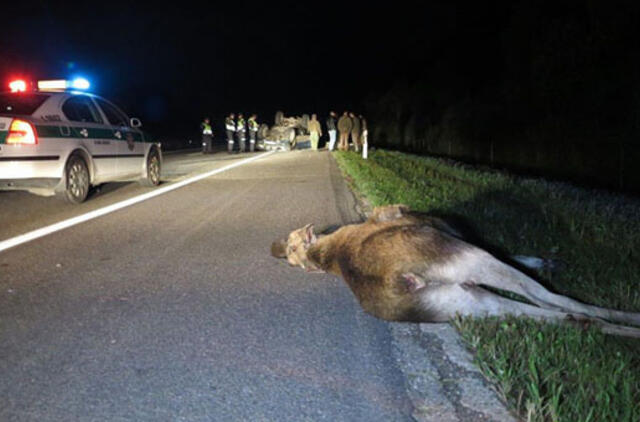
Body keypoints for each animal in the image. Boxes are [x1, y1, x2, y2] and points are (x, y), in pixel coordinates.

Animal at [272, 204, 640, 336]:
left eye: (291, 247)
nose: (280, 247)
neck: (326, 253)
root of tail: (403, 281)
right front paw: (549, 261)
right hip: (473, 262)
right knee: (561, 301)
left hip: (458, 305)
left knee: (574, 318)